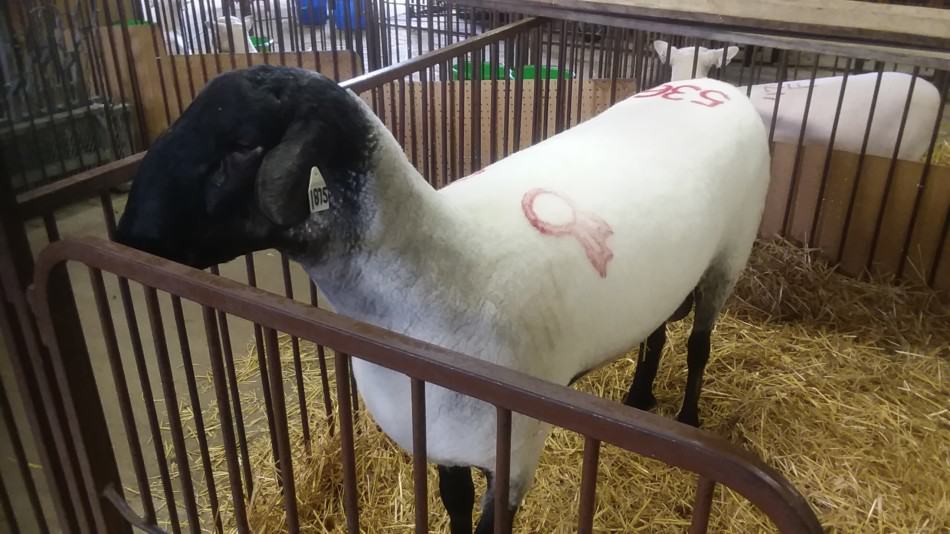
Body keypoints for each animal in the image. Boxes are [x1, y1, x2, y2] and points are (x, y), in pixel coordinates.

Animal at [115, 67, 776, 534]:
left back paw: (686, 418)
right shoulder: (443, 440)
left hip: (731, 254)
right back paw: (639, 397)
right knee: (658, 330)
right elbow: (451, 504)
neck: (435, 271)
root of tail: (718, 85)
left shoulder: (514, 455)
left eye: (244, 144)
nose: (127, 235)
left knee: (699, 342)